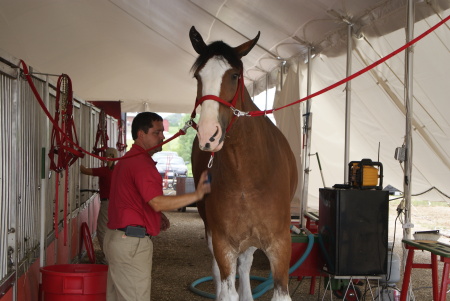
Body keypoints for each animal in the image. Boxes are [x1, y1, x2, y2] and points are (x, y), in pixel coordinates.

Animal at [190, 26, 298, 300]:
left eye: (234, 75)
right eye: (198, 76)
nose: (209, 135)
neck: (247, 174)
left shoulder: (280, 245)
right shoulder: (223, 242)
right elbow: (227, 288)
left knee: (246, 263)